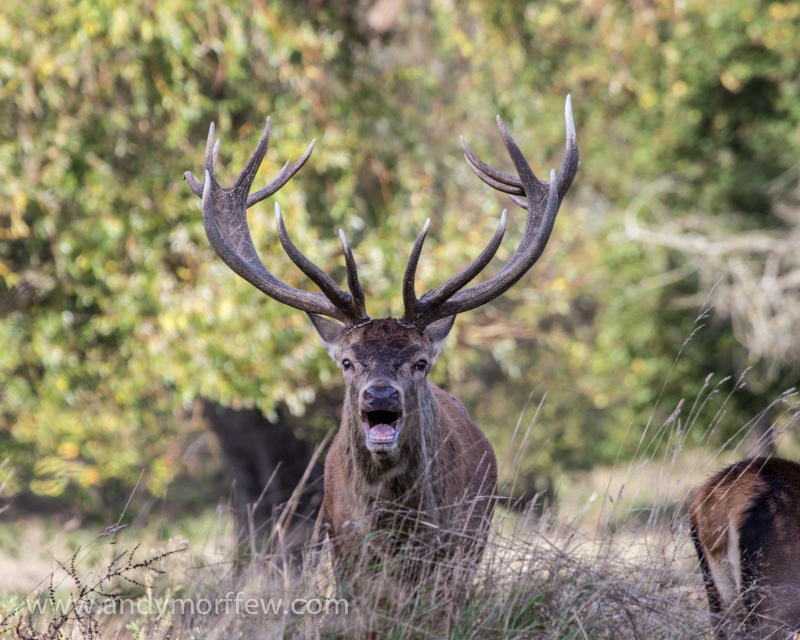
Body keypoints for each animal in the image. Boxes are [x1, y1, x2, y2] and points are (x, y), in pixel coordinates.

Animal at [185, 97, 579, 600]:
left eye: (420, 362)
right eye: (347, 361)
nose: (381, 395)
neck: (396, 526)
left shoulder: (456, 551)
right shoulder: (344, 551)